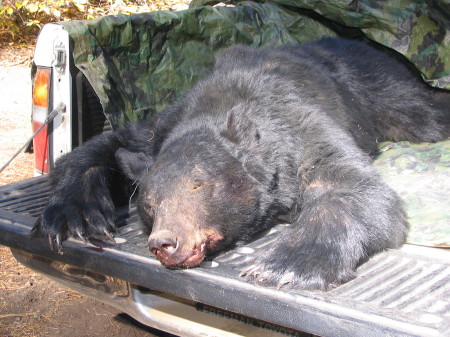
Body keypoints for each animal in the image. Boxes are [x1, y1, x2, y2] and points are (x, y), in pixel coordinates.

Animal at [30, 37, 446, 288]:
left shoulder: (301, 125)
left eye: (198, 185)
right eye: (149, 203)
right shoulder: (162, 128)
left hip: (379, 89)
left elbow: (351, 186)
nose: (164, 241)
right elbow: (103, 147)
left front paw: (286, 265)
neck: (226, 105)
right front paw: (75, 216)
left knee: (423, 111)